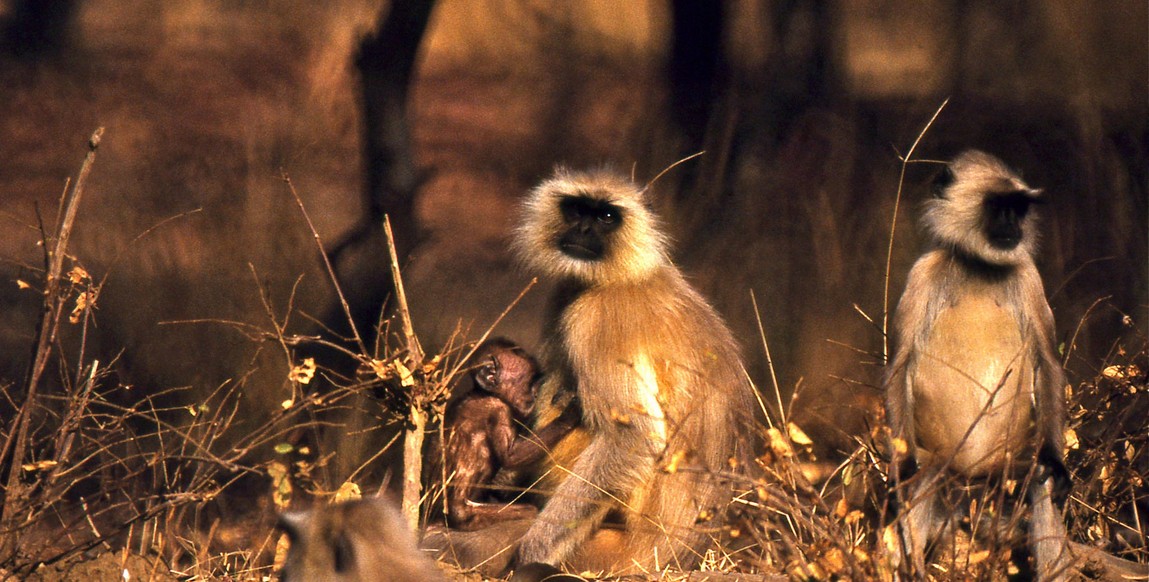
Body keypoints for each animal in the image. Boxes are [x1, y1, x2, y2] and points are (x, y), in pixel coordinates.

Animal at [510, 167, 758, 573]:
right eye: (576, 210)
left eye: (606, 217)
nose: (583, 230)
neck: (626, 274)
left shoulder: (596, 318)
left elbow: (633, 439)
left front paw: (532, 551)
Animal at [882, 149, 1070, 578]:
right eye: (998, 206)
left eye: (1019, 208)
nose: (1013, 226)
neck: (979, 267)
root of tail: (972, 478)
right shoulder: (923, 272)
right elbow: (900, 365)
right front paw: (901, 470)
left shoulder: (1028, 275)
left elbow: (1048, 363)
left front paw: (1056, 463)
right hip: (944, 463)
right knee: (928, 478)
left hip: (1003, 470)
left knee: (1038, 481)